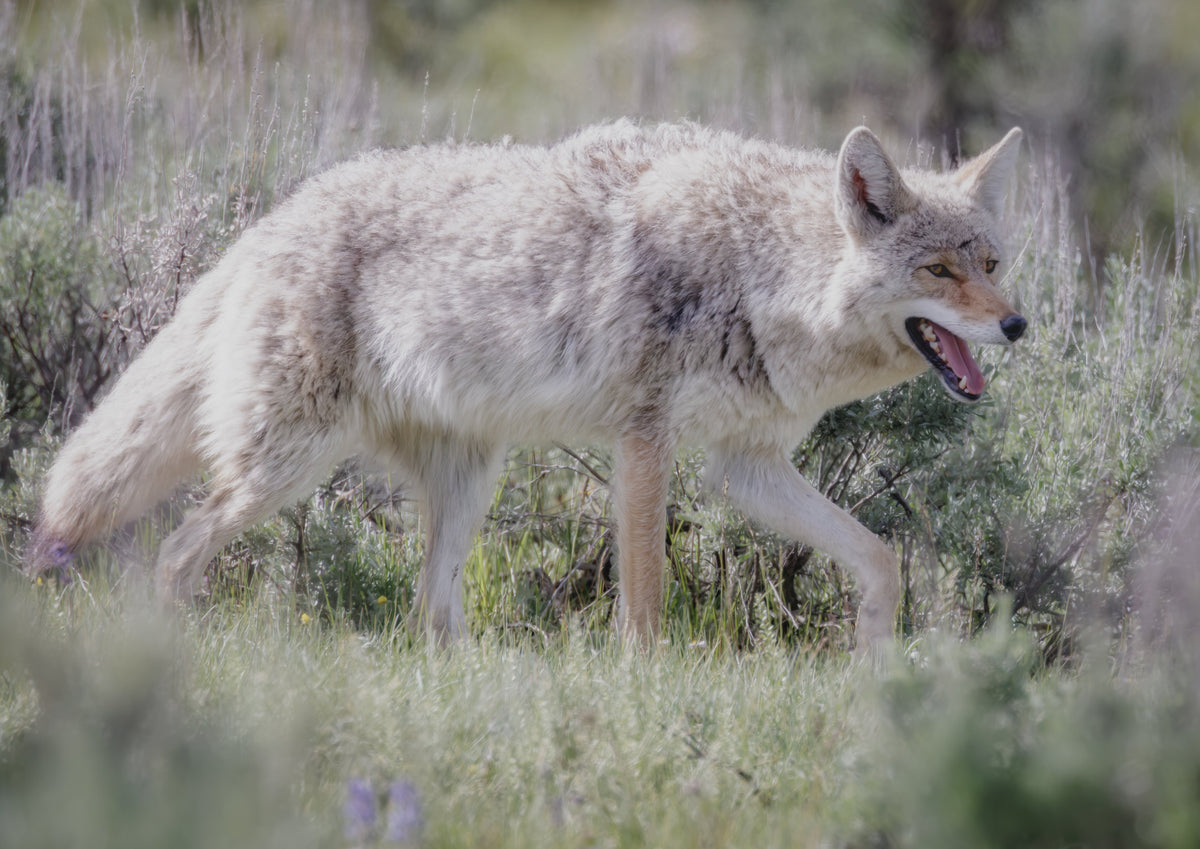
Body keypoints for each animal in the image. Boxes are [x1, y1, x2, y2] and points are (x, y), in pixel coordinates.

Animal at [28, 120, 1025, 652]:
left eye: (991, 264)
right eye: (938, 271)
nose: (1017, 325)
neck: (758, 272)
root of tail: (269, 222)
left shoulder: (744, 466)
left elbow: (880, 558)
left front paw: (875, 664)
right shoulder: (645, 443)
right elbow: (645, 605)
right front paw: (644, 691)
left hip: (469, 485)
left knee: (428, 611)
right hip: (283, 471)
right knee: (175, 552)